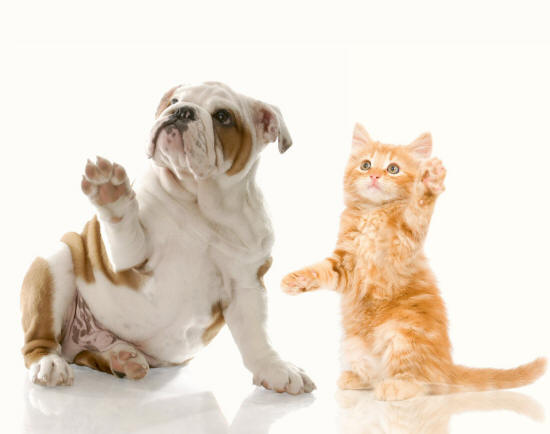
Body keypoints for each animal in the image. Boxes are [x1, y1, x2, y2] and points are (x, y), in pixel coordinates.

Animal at [20, 82, 314, 396]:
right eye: (174, 101)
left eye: (223, 116)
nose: (182, 111)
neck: (200, 201)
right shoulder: (128, 259)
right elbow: (124, 227)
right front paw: (110, 191)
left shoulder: (246, 283)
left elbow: (256, 334)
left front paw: (276, 368)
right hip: (53, 265)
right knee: (38, 343)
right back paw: (50, 364)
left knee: (90, 355)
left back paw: (121, 358)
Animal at [284, 124, 548, 400]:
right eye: (366, 165)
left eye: (393, 169)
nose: (374, 176)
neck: (373, 213)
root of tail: (446, 367)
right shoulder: (346, 262)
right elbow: (322, 270)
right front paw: (294, 281)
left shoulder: (402, 247)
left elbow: (416, 213)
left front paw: (429, 185)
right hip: (353, 344)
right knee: (377, 375)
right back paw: (356, 378)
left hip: (403, 333)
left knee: (421, 382)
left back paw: (396, 386)